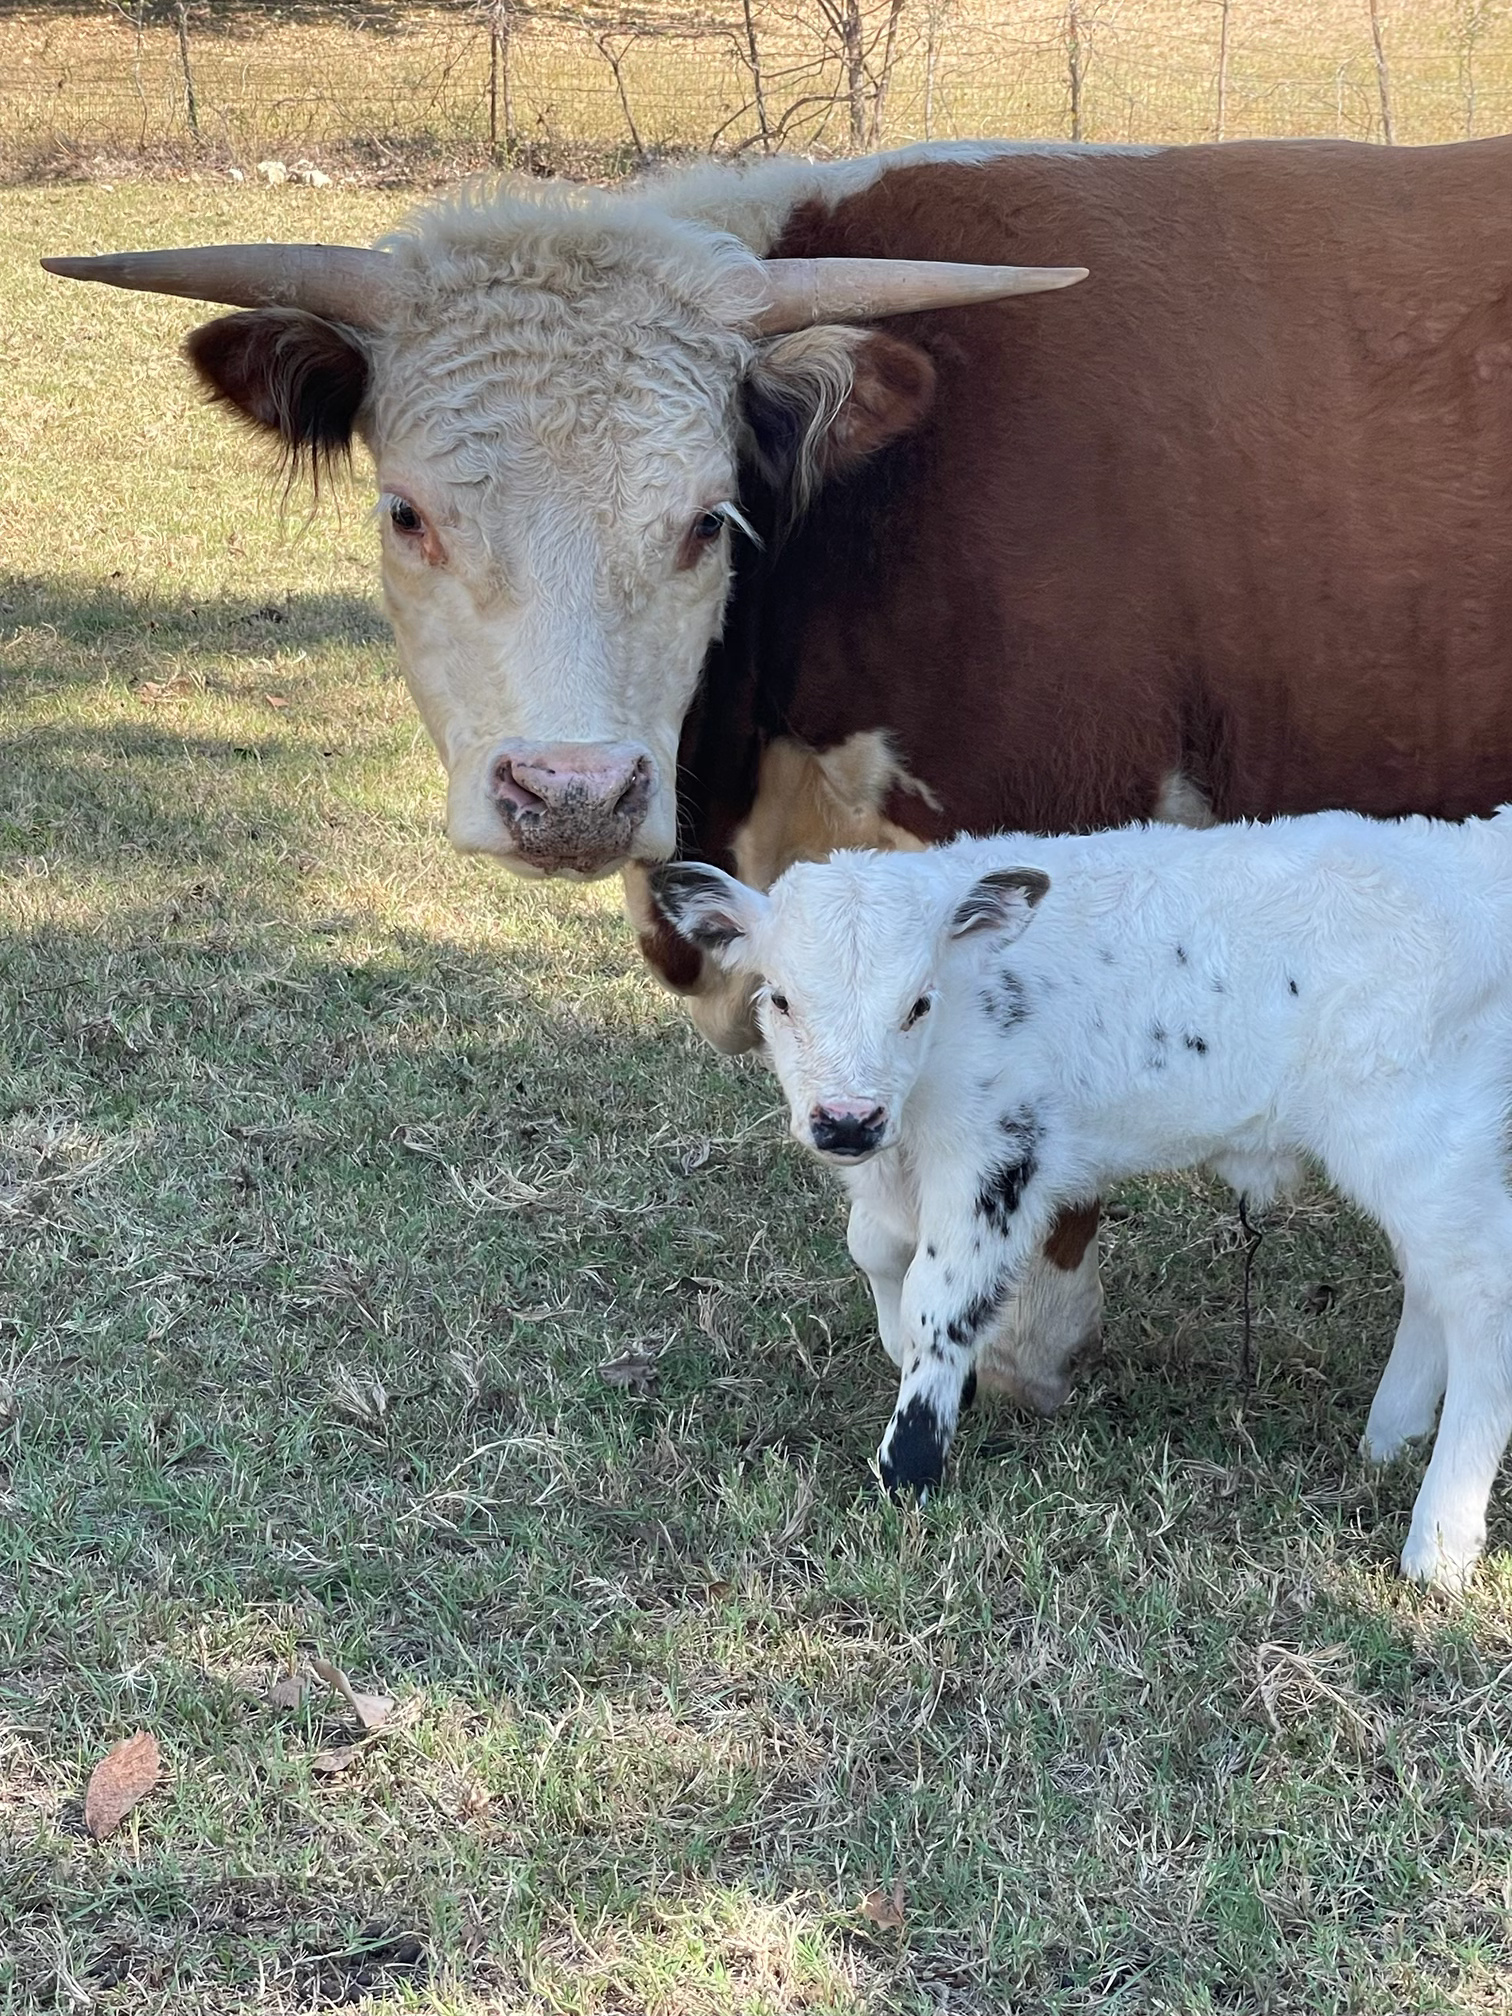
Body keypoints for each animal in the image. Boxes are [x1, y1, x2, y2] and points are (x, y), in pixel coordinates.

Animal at [651, 810, 1512, 1591]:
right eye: (780, 999)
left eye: (919, 1003)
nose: (846, 1121)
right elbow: (877, 1249)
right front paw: (916, 1363)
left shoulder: (996, 1157)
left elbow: (941, 1295)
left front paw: (909, 1466)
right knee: (1435, 1287)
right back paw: (1391, 1434)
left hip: (1423, 1142)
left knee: (1482, 1302)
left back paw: (1439, 1544)